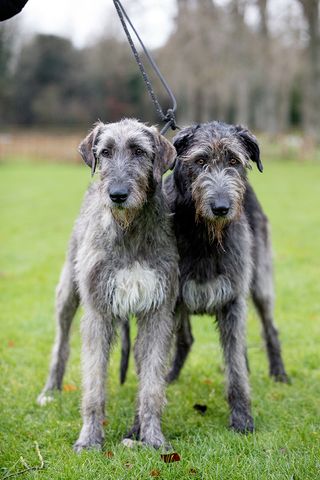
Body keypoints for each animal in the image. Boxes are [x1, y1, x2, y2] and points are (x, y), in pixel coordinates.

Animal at [37, 118, 180, 452]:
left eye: (139, 151)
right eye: (105, 152)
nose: (117, 194)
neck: (130, 230)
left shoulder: (158, 312)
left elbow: (152, 386)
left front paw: (153, 438)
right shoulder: (97, 312)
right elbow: (93, 384)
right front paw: (89, 438)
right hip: (68, 290)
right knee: (61, 341)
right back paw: (50, 390)